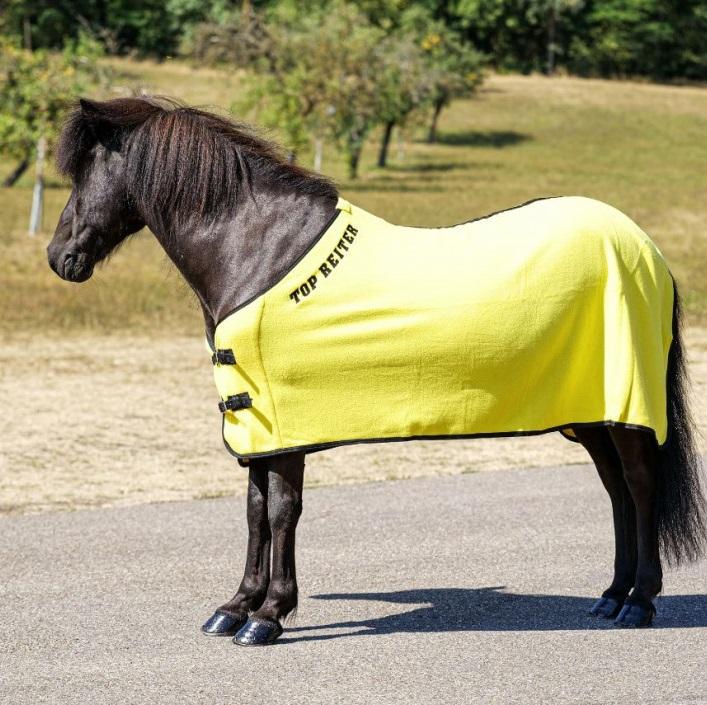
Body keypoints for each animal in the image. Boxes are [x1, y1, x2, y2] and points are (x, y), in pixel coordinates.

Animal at [47, 96, 706, 646]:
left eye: (82, 174)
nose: (60, 258)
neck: (259, 250)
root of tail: (645, 248)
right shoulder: (258, 427)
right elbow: (255, 511)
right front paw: (234, 607)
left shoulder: (286, 428)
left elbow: (282, 510)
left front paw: (268, 616)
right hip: (590, 414)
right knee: (616, 491)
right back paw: (610, 597)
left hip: (624, 410)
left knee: (640, 487)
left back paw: (640, 603)